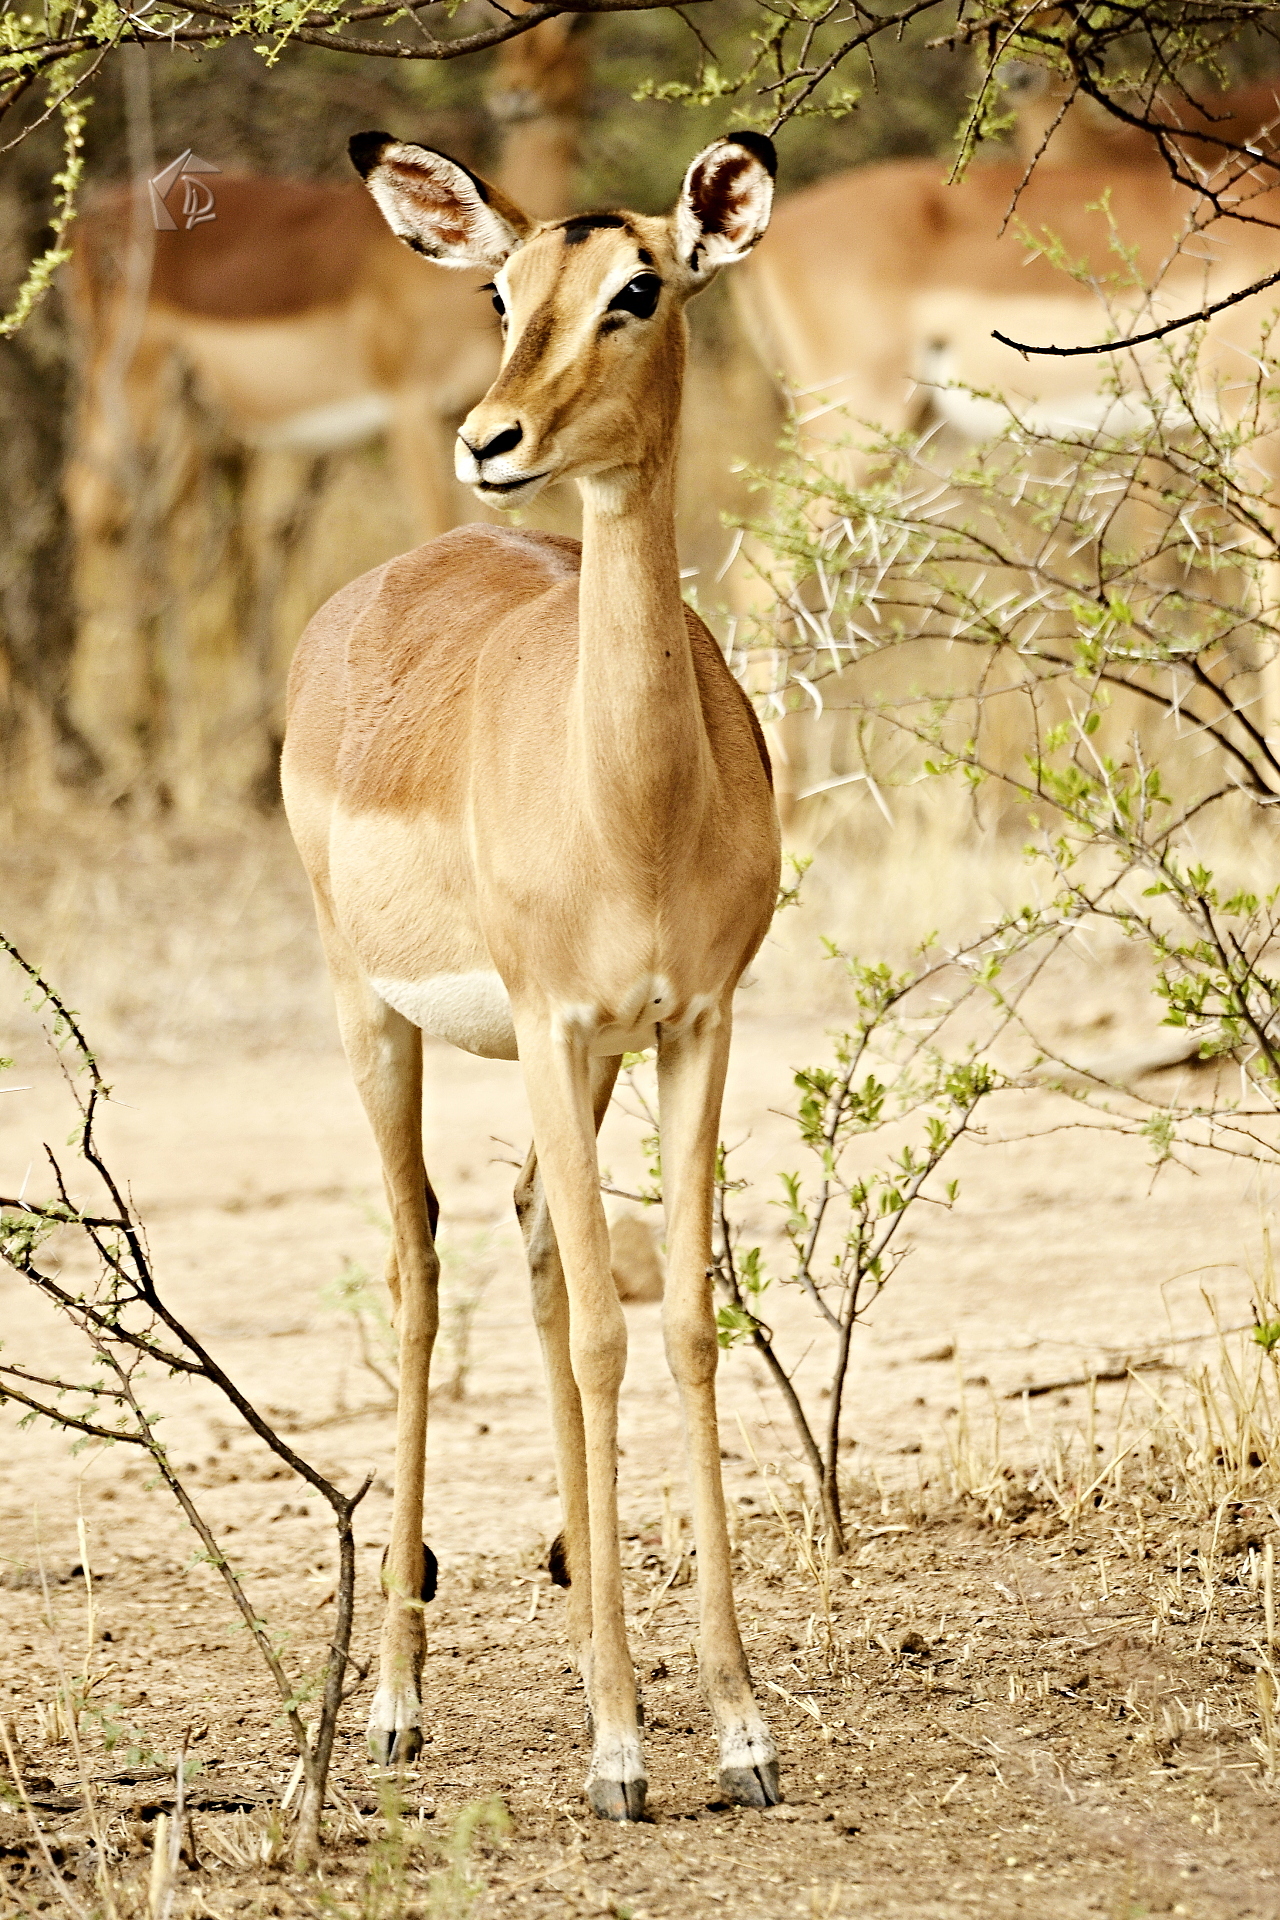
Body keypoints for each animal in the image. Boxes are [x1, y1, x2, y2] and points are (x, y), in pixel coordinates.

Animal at [280, 129, 783, 1820]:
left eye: (641, 286)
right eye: (501, 293)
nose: (492, 439)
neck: (632, 805)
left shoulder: (693, 1026)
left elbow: (677, 1322)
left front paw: (738, 1732)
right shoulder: (557, 1028)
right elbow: (616, 1332)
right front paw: (626, 1753)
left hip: (587, 1058)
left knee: (535, 1247)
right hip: (372, 1020)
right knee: (419, 1262)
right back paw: (392, 1704)